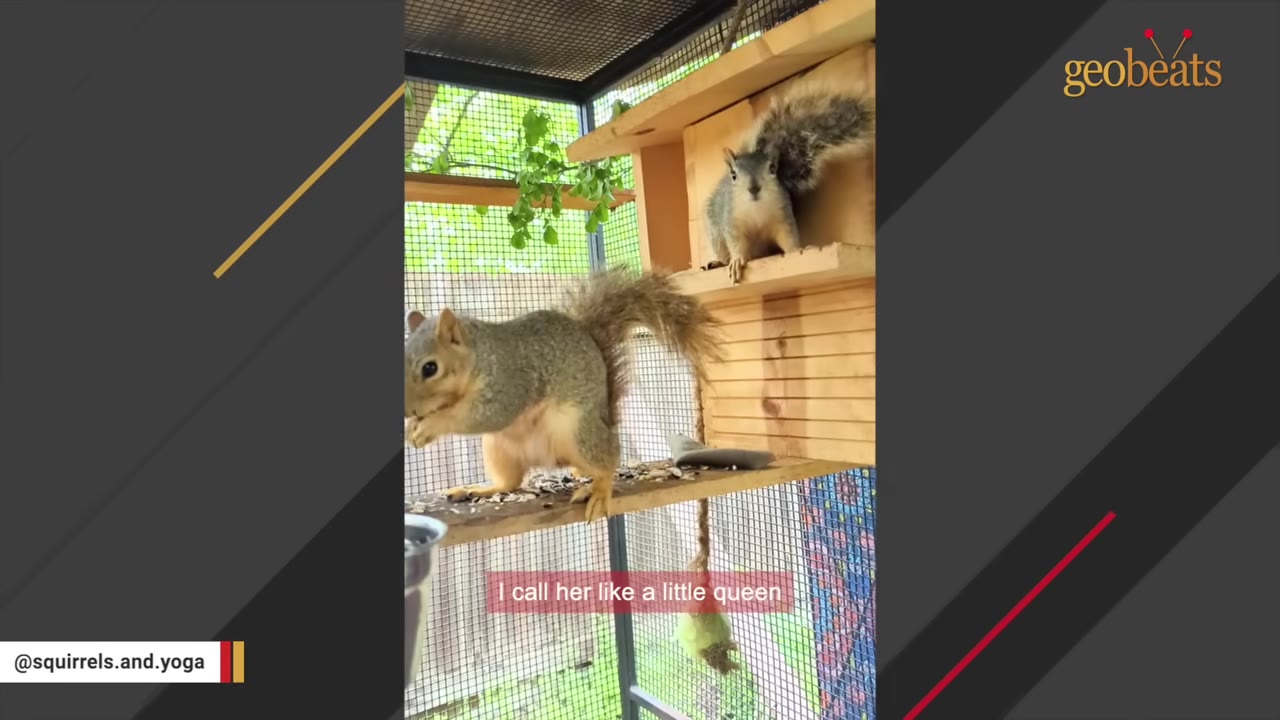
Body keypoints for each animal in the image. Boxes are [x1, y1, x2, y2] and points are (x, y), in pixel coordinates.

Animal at [404, 267, 723, 523]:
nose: (406, 410)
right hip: (498, 448)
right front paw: (413, 427)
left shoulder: (510, 382)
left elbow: (486, 415)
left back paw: (600, 490)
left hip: (579, 433)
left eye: (430, 368)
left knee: (609, 461)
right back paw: (479, 488)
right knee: (510, 482)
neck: (480, 356)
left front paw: (431, 426)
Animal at [704, 85, 875, 284]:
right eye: (733, 175)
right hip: (715, 233)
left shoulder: (782, 215)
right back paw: (718, 262)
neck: (756, 208)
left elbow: (788, 237)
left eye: (772, 169)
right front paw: (737, 260)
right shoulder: (731, 221)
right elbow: (735, 243)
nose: (754, 188)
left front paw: (798, 250)